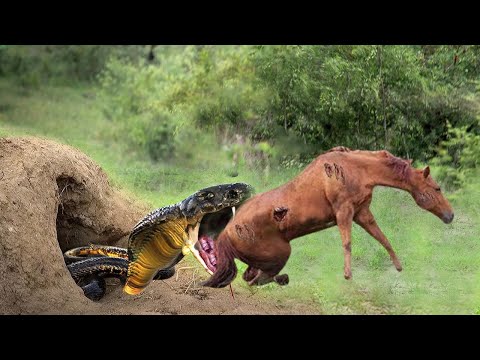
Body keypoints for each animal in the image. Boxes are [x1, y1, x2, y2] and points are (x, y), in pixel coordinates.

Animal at [202, 145, 454, 288]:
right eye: (438, 188)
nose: (450, 215)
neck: (356, 169)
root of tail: (226, 233)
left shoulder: (362, 213)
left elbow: (382, 238)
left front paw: (399, 267)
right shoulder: (344, 212)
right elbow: (348, 243)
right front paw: (348, 276)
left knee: (251, 278)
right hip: (281, 253)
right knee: (256, 280)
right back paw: (284, 279)